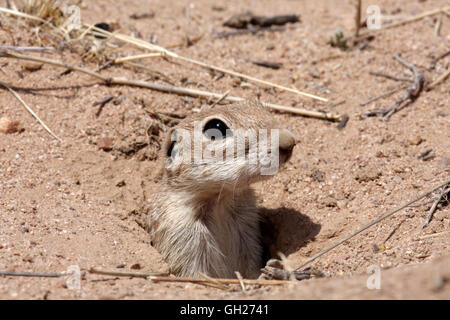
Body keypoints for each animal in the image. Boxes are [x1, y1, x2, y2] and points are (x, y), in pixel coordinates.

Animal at [147, 99, 296, 278]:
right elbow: (194, 274)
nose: (289, 142)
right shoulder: (181, 232)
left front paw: (271, 270)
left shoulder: (247, 225)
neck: (220, 201)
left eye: (256, 104)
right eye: (216, 126)